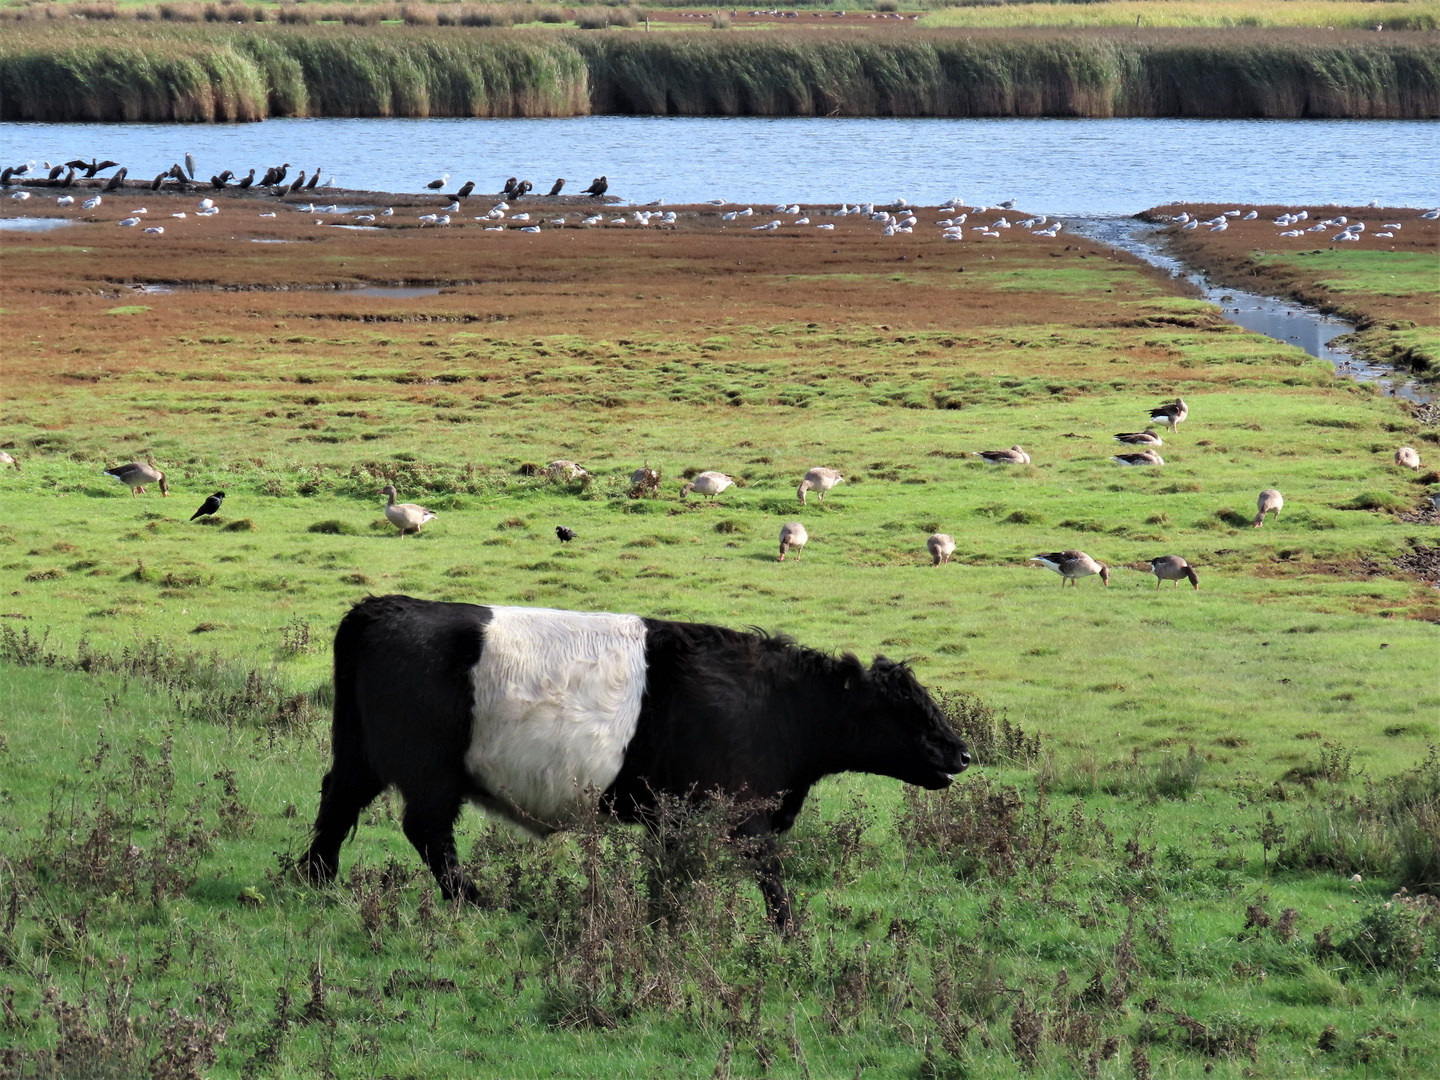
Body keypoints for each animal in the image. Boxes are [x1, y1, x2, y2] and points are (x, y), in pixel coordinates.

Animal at [298, 596, 973, 933]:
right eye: (905, 711)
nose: (963, 752)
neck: (773, 704)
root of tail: (379, 606)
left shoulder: (676, 818)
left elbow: (672, 875)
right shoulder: (737, 815)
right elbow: (769, 874)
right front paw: (786, 934)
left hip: (361, 754)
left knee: (337, 803)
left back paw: (316, 879)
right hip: (431, 772)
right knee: (427, 832)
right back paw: (476, 900)